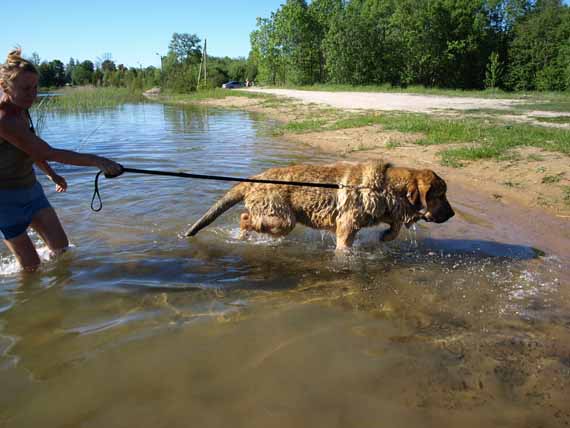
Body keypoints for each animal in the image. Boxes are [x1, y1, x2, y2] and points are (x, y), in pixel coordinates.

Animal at [185, 160, 452, 247]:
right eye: (439, 196)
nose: (452, 215)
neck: (384, 186)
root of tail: (253, 180)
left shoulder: (383, 209)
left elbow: (395, 222)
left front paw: (387, 236)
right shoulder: (346, 227)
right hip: (282, 219)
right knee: (245, 218)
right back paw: (243, 233)